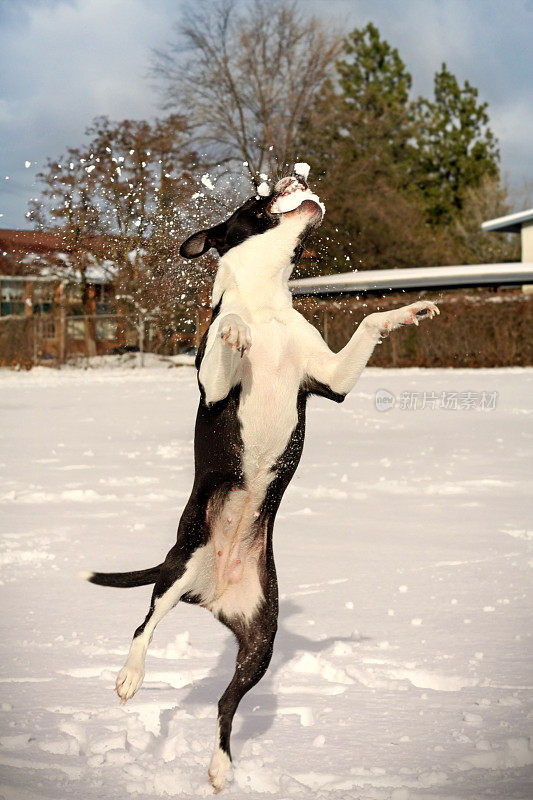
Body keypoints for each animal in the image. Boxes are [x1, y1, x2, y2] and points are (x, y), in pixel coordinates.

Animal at [83, 170, 438, 792]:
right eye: (255, 200)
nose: (294, 178)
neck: (269, 305)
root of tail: (214, 592)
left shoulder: (331, 378)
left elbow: (369, 320)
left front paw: (408, 311)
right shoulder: (216, 385)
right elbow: (226, 328)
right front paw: (233, 327)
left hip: (260, 639)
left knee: (226, 704)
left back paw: (220, 766)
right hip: (180, 568)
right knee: (144, 625)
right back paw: (129, 677)